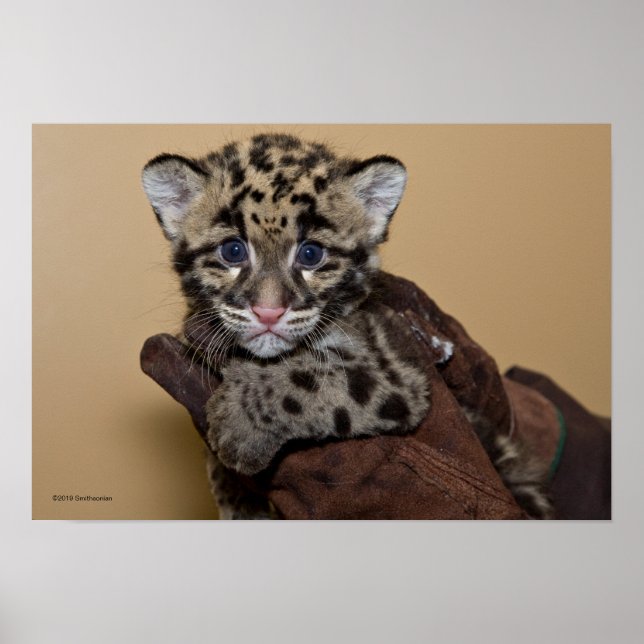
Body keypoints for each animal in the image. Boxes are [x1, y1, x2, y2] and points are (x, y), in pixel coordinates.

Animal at [142, 133, 552, 519]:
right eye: (233, 251)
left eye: (311, 254)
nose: (269, 311)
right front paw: (235, 498)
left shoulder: (396, 367)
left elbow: (313, 381)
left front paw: (238, 425)